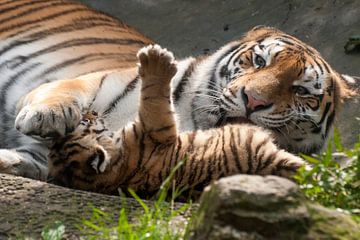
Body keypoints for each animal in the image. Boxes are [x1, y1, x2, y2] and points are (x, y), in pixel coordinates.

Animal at [0, 0, 358, 180]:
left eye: (301, 91)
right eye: (259, 61)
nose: (253, 101)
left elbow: (34, 160)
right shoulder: (91, 80)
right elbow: (61, 93)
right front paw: (46, 116)